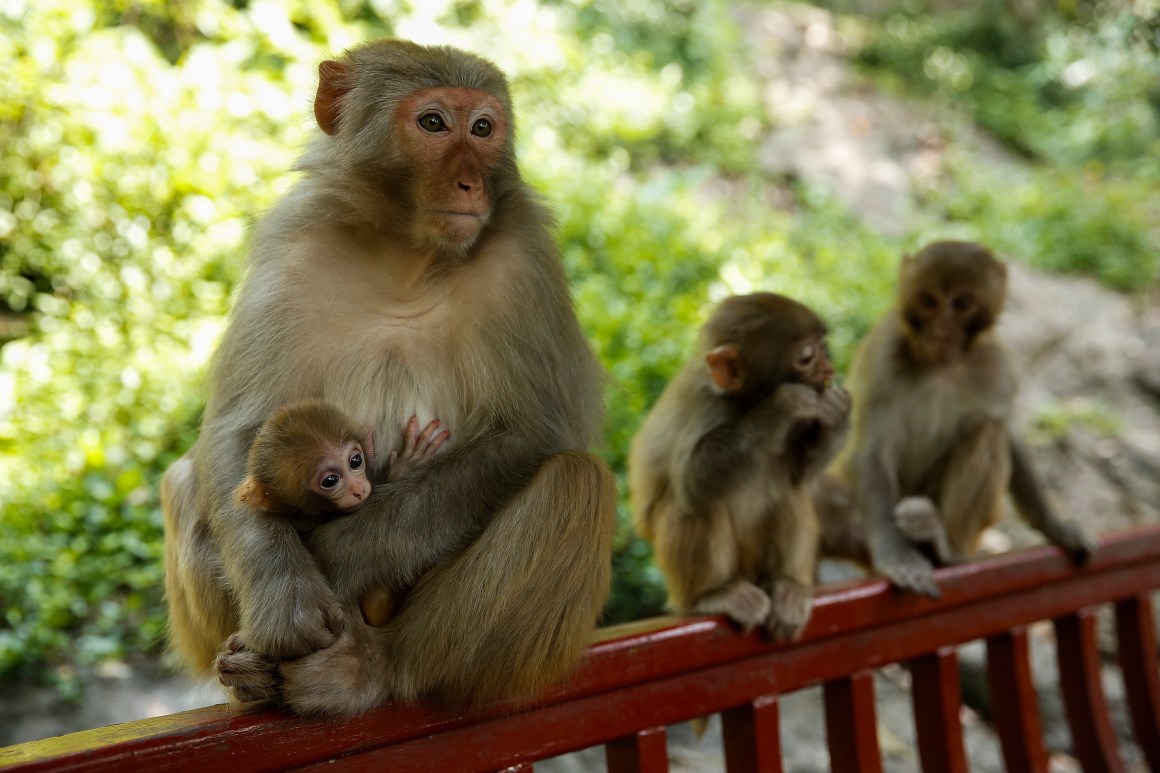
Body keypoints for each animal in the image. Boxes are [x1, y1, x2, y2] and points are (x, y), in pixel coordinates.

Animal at [631, 290, 849, 636]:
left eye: (824, 347)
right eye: (807, 357)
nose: (829, 372)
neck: (745, 402)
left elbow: (800, 476)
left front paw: (836, 413)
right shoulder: (705, 405)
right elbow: (692, 483)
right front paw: (779, 409)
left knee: (788, 494)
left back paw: (789, 586)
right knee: (691, 505)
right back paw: (710, 595)